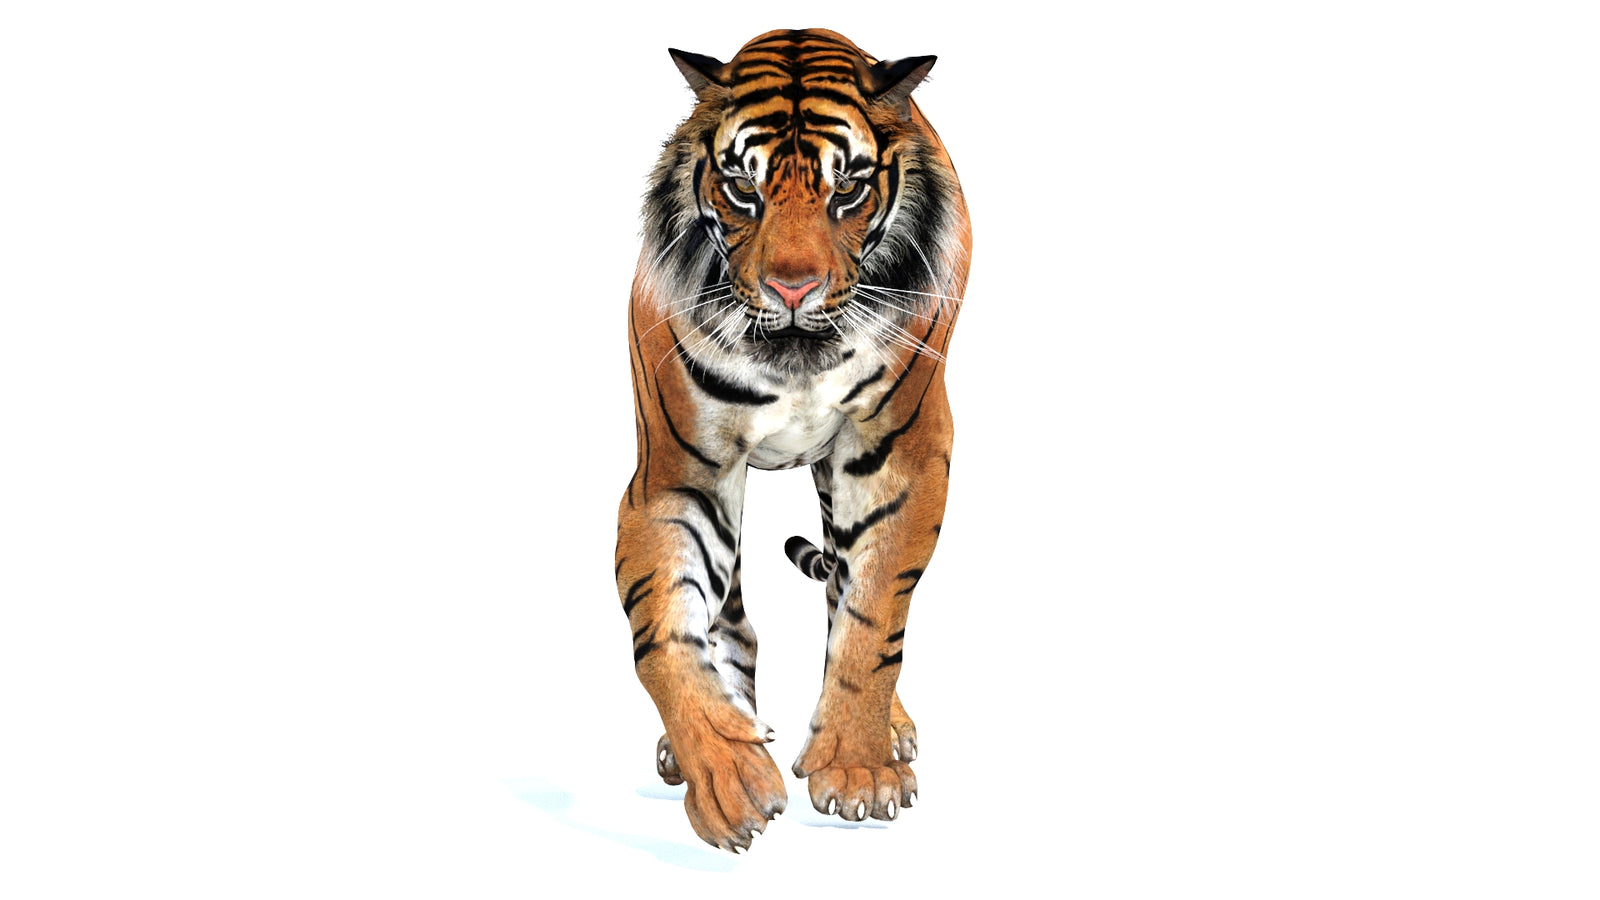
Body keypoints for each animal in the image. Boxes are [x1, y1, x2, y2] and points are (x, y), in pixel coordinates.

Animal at [614, 28, 970, 852]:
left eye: (848, 191)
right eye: (743, 190)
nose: (792, 289)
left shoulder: (901, 457)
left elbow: (872, 617)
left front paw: (858, 769)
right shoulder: (680, 476)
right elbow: (665, 634)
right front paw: (727, 773)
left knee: (844, 587)